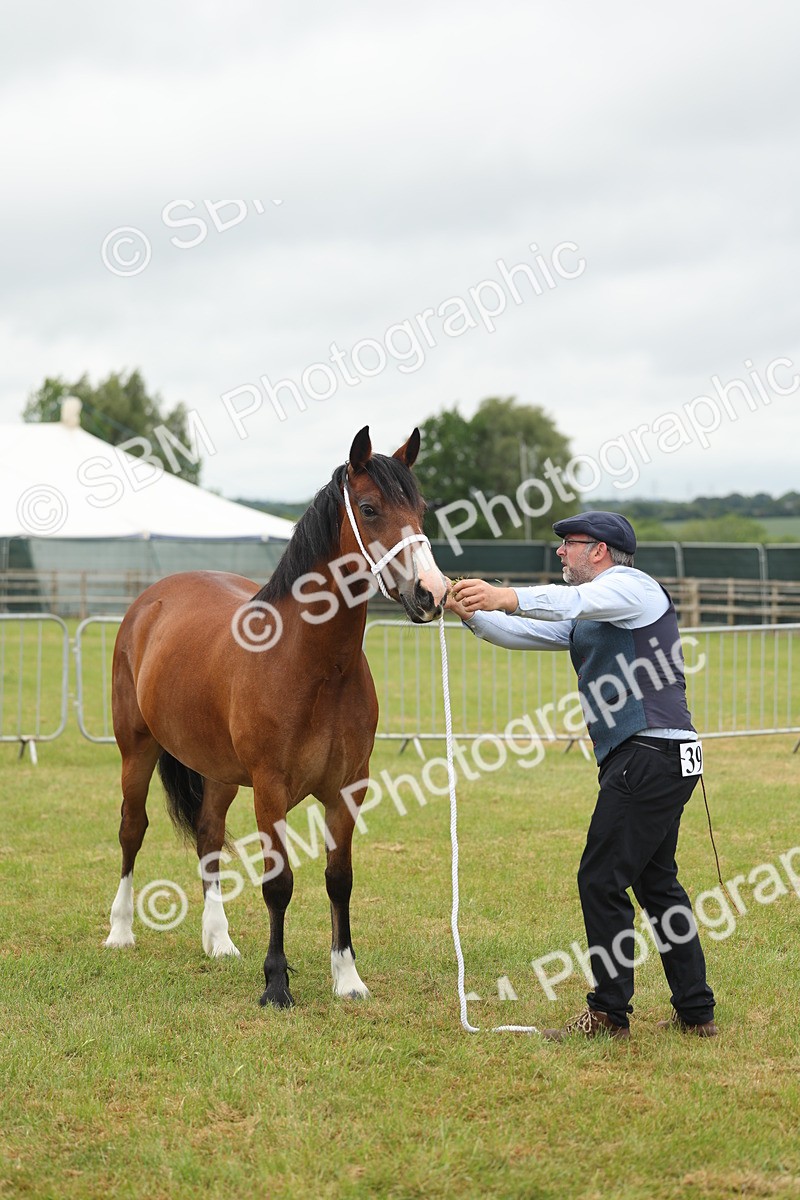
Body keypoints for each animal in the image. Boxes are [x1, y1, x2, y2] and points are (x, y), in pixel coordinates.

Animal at [104, 426, 446, 1007]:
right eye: (370, 508)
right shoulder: (270, 790)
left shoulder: (348, 789)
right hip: (138, 749)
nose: (432, 593)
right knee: (133, 829)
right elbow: (279, 885)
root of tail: (151, 600)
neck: (314, 665)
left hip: (219, 773)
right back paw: (121, 931)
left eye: (420, 508)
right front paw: (277, 984)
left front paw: (347, 978)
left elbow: (339, 879)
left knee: (209, 836)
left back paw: (219, 941)